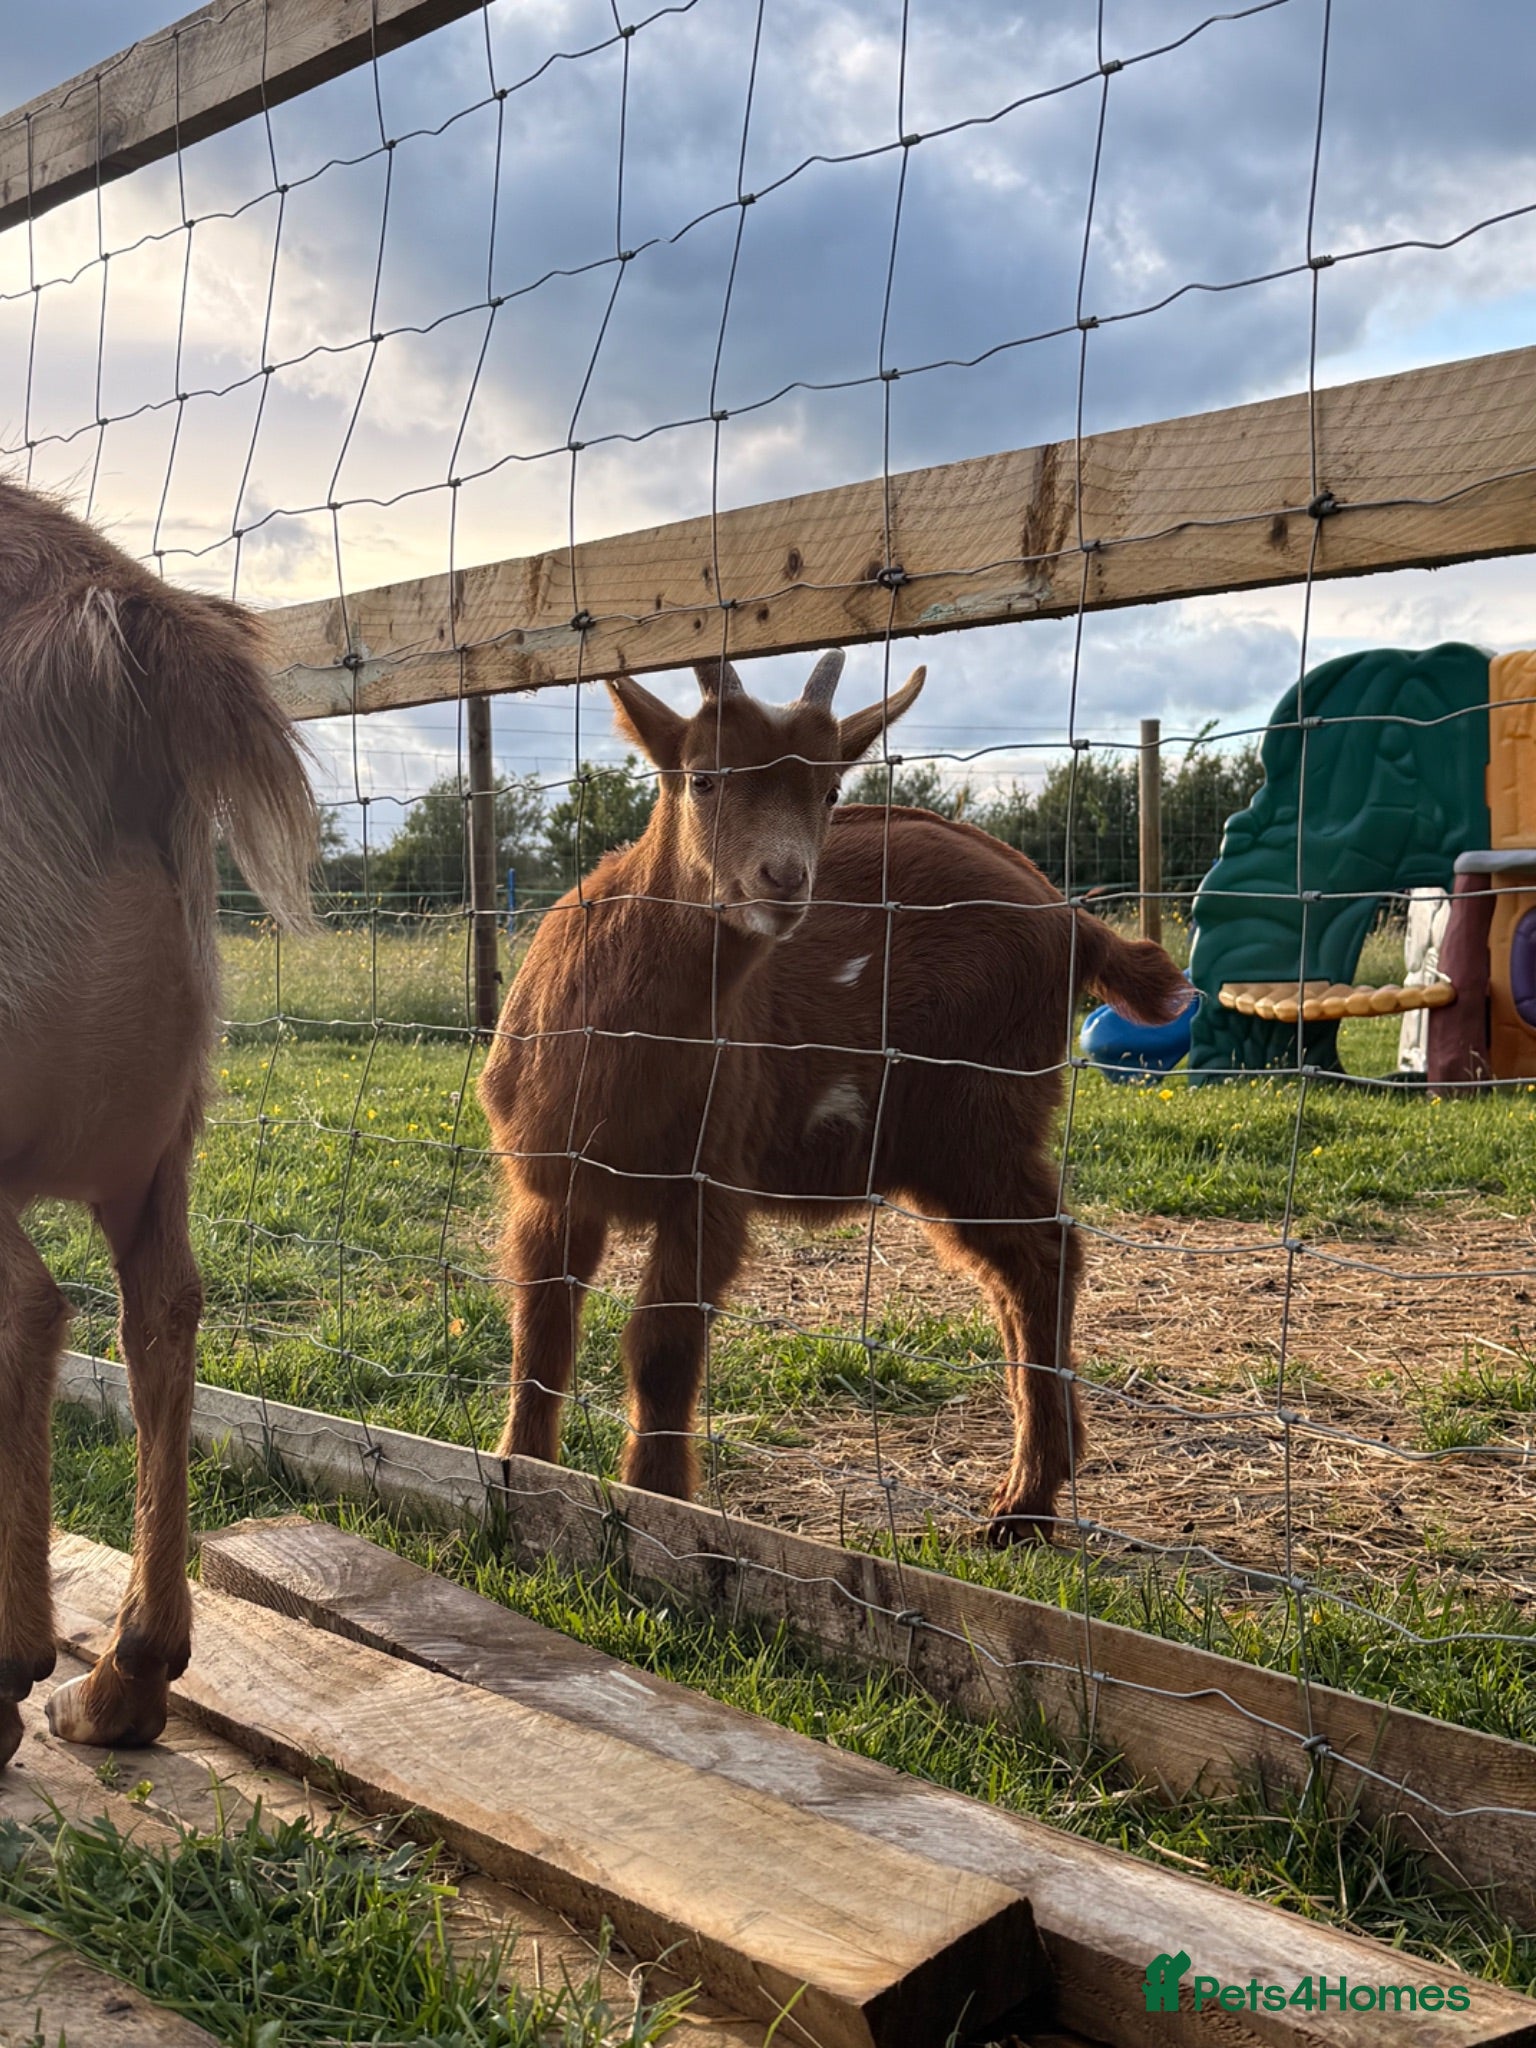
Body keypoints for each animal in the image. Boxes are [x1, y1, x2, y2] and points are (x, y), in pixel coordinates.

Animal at [478, 653, 1187, 1542]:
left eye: (829, 791)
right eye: (702, 776)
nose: (784, 879)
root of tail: (1071, 919)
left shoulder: (713, 1176)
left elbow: (663, 1346)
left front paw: (656, 1509)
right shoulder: (549, 1183)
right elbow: (539, 1337)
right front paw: (519, 1475)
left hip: (980, 1114)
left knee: (1047, 1255)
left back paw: (1025, 1499)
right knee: (1022, 1265)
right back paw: (1034, 1488)